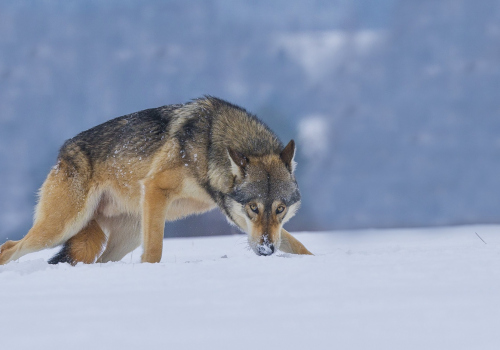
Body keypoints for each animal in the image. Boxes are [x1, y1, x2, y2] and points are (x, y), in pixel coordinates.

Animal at [0, 95, 312, 266]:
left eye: (280, 209)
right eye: (254, 207)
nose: (267, 250)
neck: (208, 147)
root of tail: (63, 152)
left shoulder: (241, 221)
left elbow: (299, 246)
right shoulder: (155, 189)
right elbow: (154, 252)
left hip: (122, 236)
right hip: (59, 228)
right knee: (9, 247)